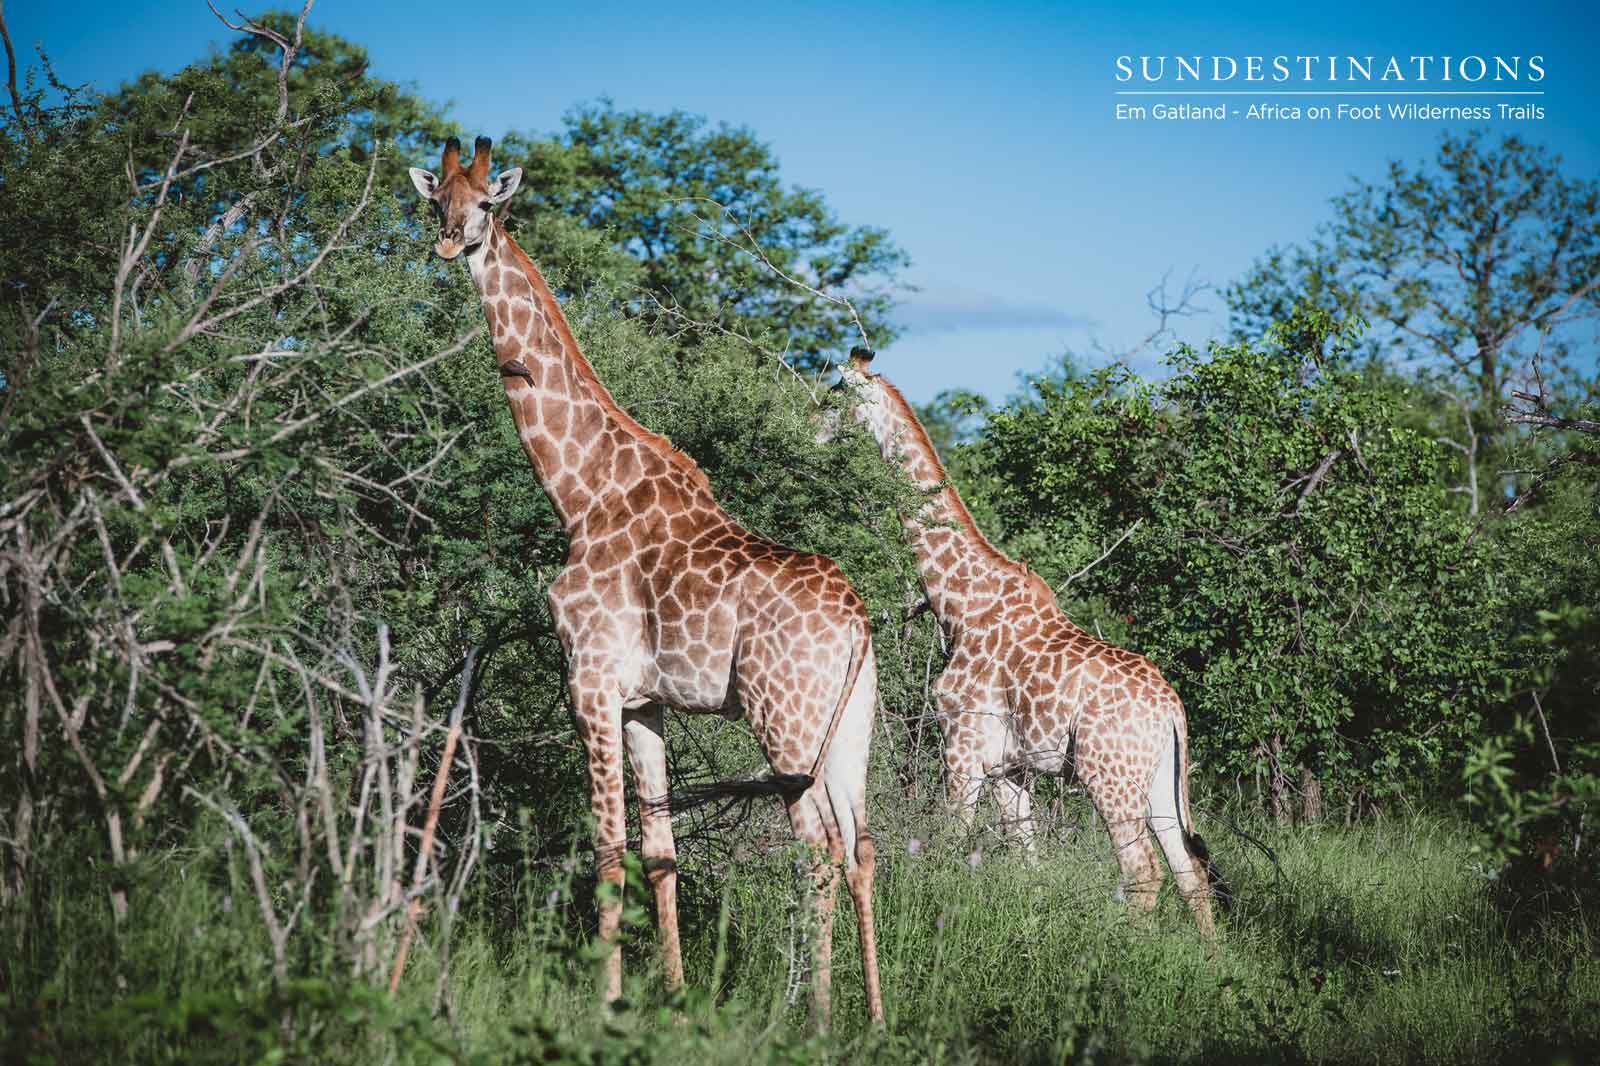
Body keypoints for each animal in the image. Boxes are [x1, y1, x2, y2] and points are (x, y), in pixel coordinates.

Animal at [408, 138, 884, 1022]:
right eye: (434, 200)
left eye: (487, 204)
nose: (451, 244)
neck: (579, 490)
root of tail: (859, 623)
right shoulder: (644, 702)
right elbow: (660, 850)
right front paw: (673, 995)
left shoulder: (587, 679)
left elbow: (607, 850)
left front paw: (608, 1002)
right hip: (849, 727)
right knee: (863, 845)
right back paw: (871, 1019)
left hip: (782, 716)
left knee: (816, 846)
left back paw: (813, 1016)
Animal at [822, 348, 1222, 935]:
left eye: (834, 396)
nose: (808, 428)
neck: (960, 603)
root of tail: (1173, 709)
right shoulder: (1010, 770)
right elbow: (1028, 864)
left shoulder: (962, 746)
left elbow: (947, 844)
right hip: (1157, 782)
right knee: (1188, 871)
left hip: (1109, 776)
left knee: (1142, 869)